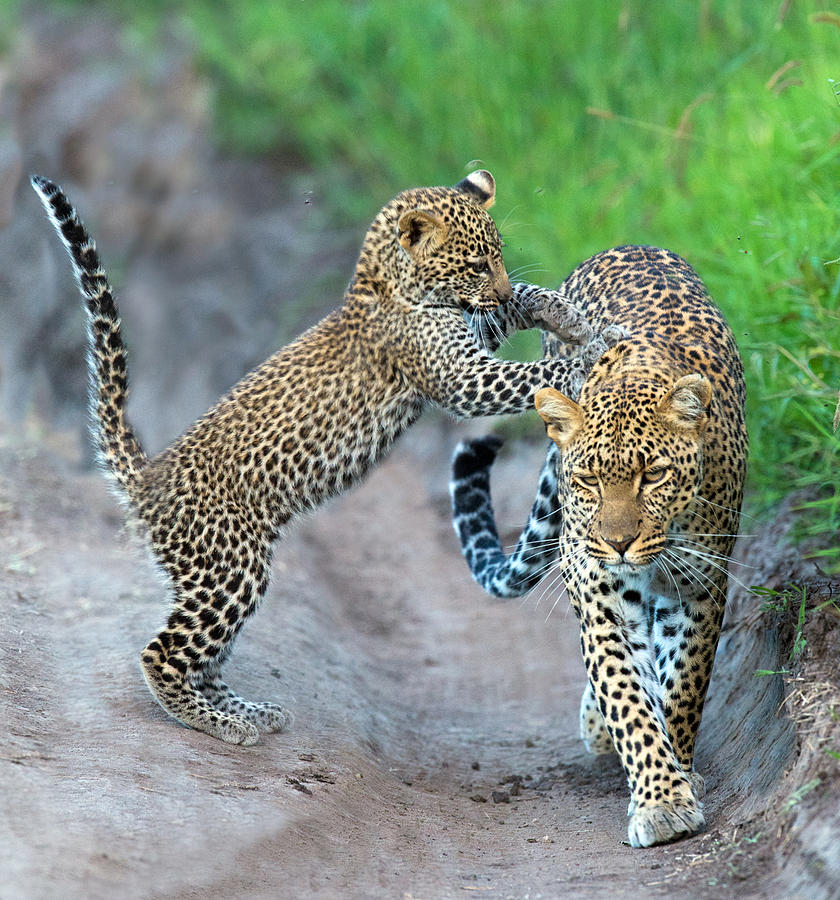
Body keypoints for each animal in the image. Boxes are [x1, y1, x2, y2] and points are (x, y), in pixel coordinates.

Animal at [31, 172, 616, 748]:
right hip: (229, 568)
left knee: (207, 658)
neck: (390, 284)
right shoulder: (461, 377)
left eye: (498, 257)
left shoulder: (471, 336)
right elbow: (528, 376)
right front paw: (587, 360)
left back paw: (248, 711)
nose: (496, 286)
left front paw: (567, 316)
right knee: (163, 653)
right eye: (476, 264)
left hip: (218, 577)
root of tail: (147, 479)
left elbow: (515, 307)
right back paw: (217, 723)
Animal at [450, 243, 744, 848]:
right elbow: (628, 696)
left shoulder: (699, 590)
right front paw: (661, 801)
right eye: (587, 480)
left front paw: (677, 776)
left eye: (654, 475)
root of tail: (630, 246)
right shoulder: (600, 593)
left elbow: (683, 684)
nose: (619, 542)